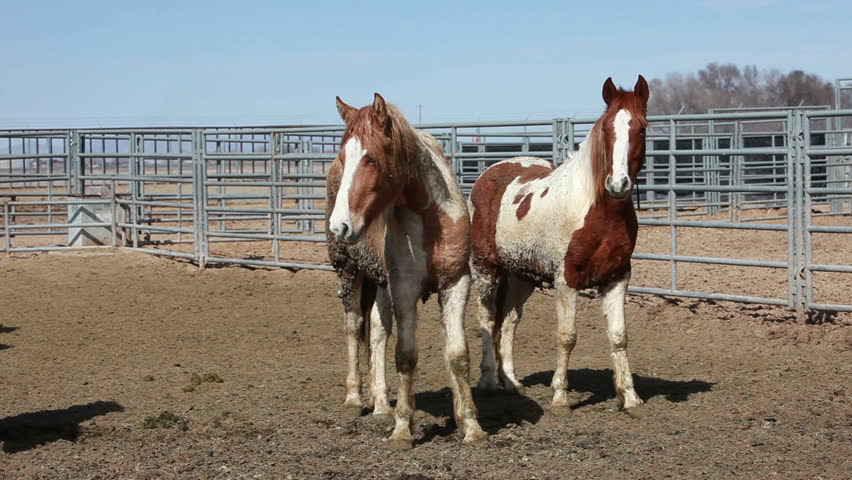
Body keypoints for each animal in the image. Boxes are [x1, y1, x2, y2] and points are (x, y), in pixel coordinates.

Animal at [325, 93, 487, 449]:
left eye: (371, 159)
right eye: (344, 156)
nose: (339, 226)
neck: (430, 219)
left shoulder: (455, 284)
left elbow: (457, 353)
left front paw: (470, 423)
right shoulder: (405, 289)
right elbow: (406, 355)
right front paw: (403, 428)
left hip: (380, 282)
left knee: (377, 330)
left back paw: (382, 405)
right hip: (350, 272)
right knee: (354, 327)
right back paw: (355, 399)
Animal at [468, 76, 651, 418]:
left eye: (642, 128)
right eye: (606, 129)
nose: (618, 184)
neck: (594, 208)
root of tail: (489, 174)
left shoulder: (618, 277)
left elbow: (619, 337)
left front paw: (631, 397)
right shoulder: (567, 280)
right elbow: (567, 337)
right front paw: (560, 397)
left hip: (521, 277)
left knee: (508, 322)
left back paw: (510, 382)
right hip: (487, 270)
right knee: (487, 320)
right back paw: (488, 381)